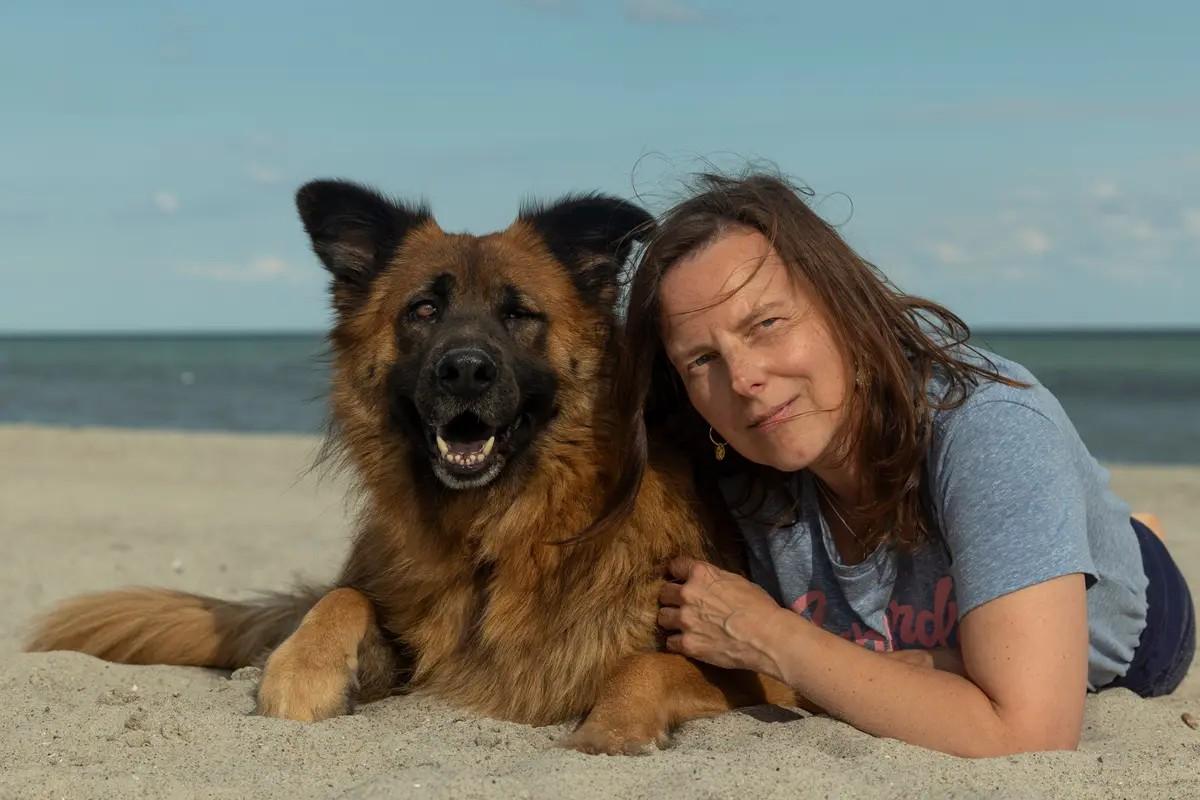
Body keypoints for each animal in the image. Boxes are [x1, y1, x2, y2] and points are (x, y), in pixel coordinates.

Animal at [23, 179, 792, 753]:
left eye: (519, 314)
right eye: (424, 309)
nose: (465, 372)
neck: (494, 538)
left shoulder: (759, 678)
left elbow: (645, 662)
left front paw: (613, 728)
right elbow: (344, 597)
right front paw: (301, 673)